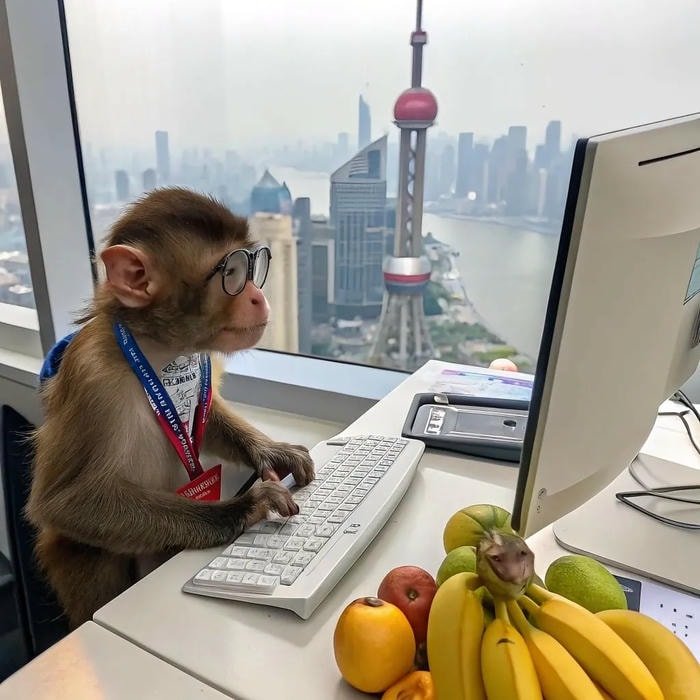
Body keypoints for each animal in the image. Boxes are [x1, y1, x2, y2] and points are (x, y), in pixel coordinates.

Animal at [25, 187, 315, 629]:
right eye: (233, 273)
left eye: (257, 265)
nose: (258, 296)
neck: (158, 352)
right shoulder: (93, 381)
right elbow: (68, 503)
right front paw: (246, 505)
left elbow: (208, 419)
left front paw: (274, 452)